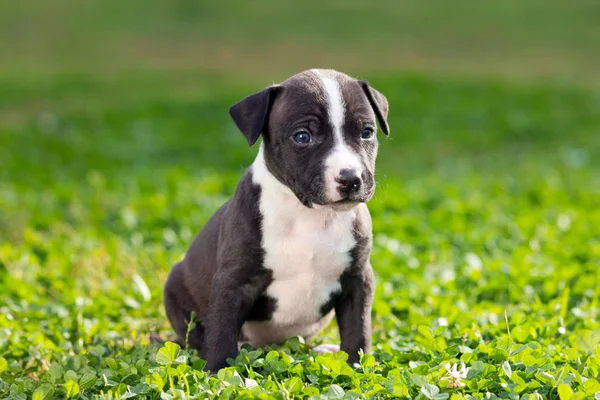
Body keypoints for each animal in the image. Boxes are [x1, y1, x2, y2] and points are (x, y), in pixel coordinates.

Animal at [164, 69, 390, 372]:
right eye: (303, 136)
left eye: (367, 132)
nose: (350, 179)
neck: (310, 214)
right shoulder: (233, 282)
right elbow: (222, 329)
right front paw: (219, 372)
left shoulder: (358, 278)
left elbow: (358, 327)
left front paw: (357, 365)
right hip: (175, 287)